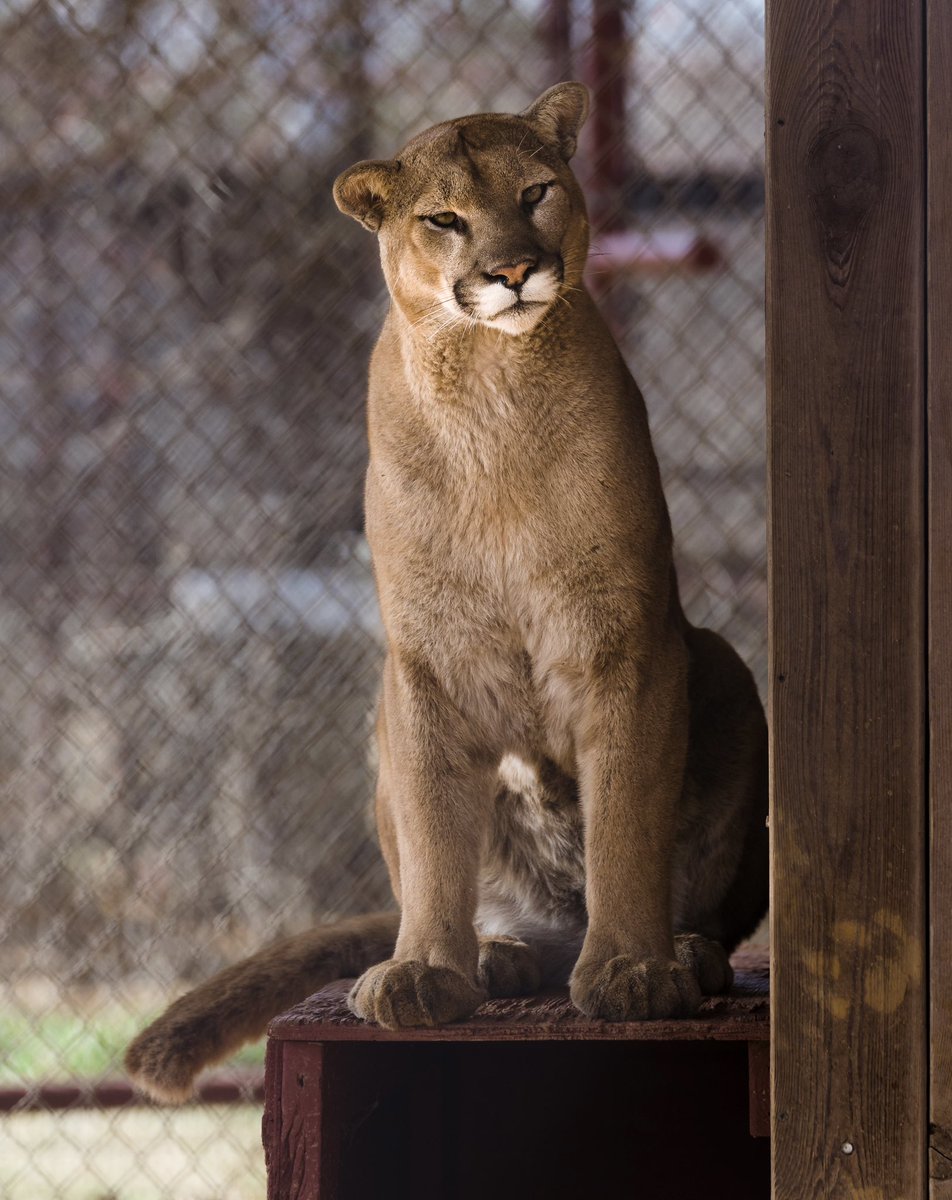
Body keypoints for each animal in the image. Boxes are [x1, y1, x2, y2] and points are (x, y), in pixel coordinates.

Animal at [126, 79, 763, 1099]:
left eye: (537, 192)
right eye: (444, 219)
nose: (513, 270)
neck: (493, 391)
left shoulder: (624, 641)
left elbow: (627, 819)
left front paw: (634, 965)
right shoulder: (422, 661)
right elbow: (432, 834)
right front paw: (424, 967)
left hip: (726, 666)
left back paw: (685, 954)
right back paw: (498, 951)